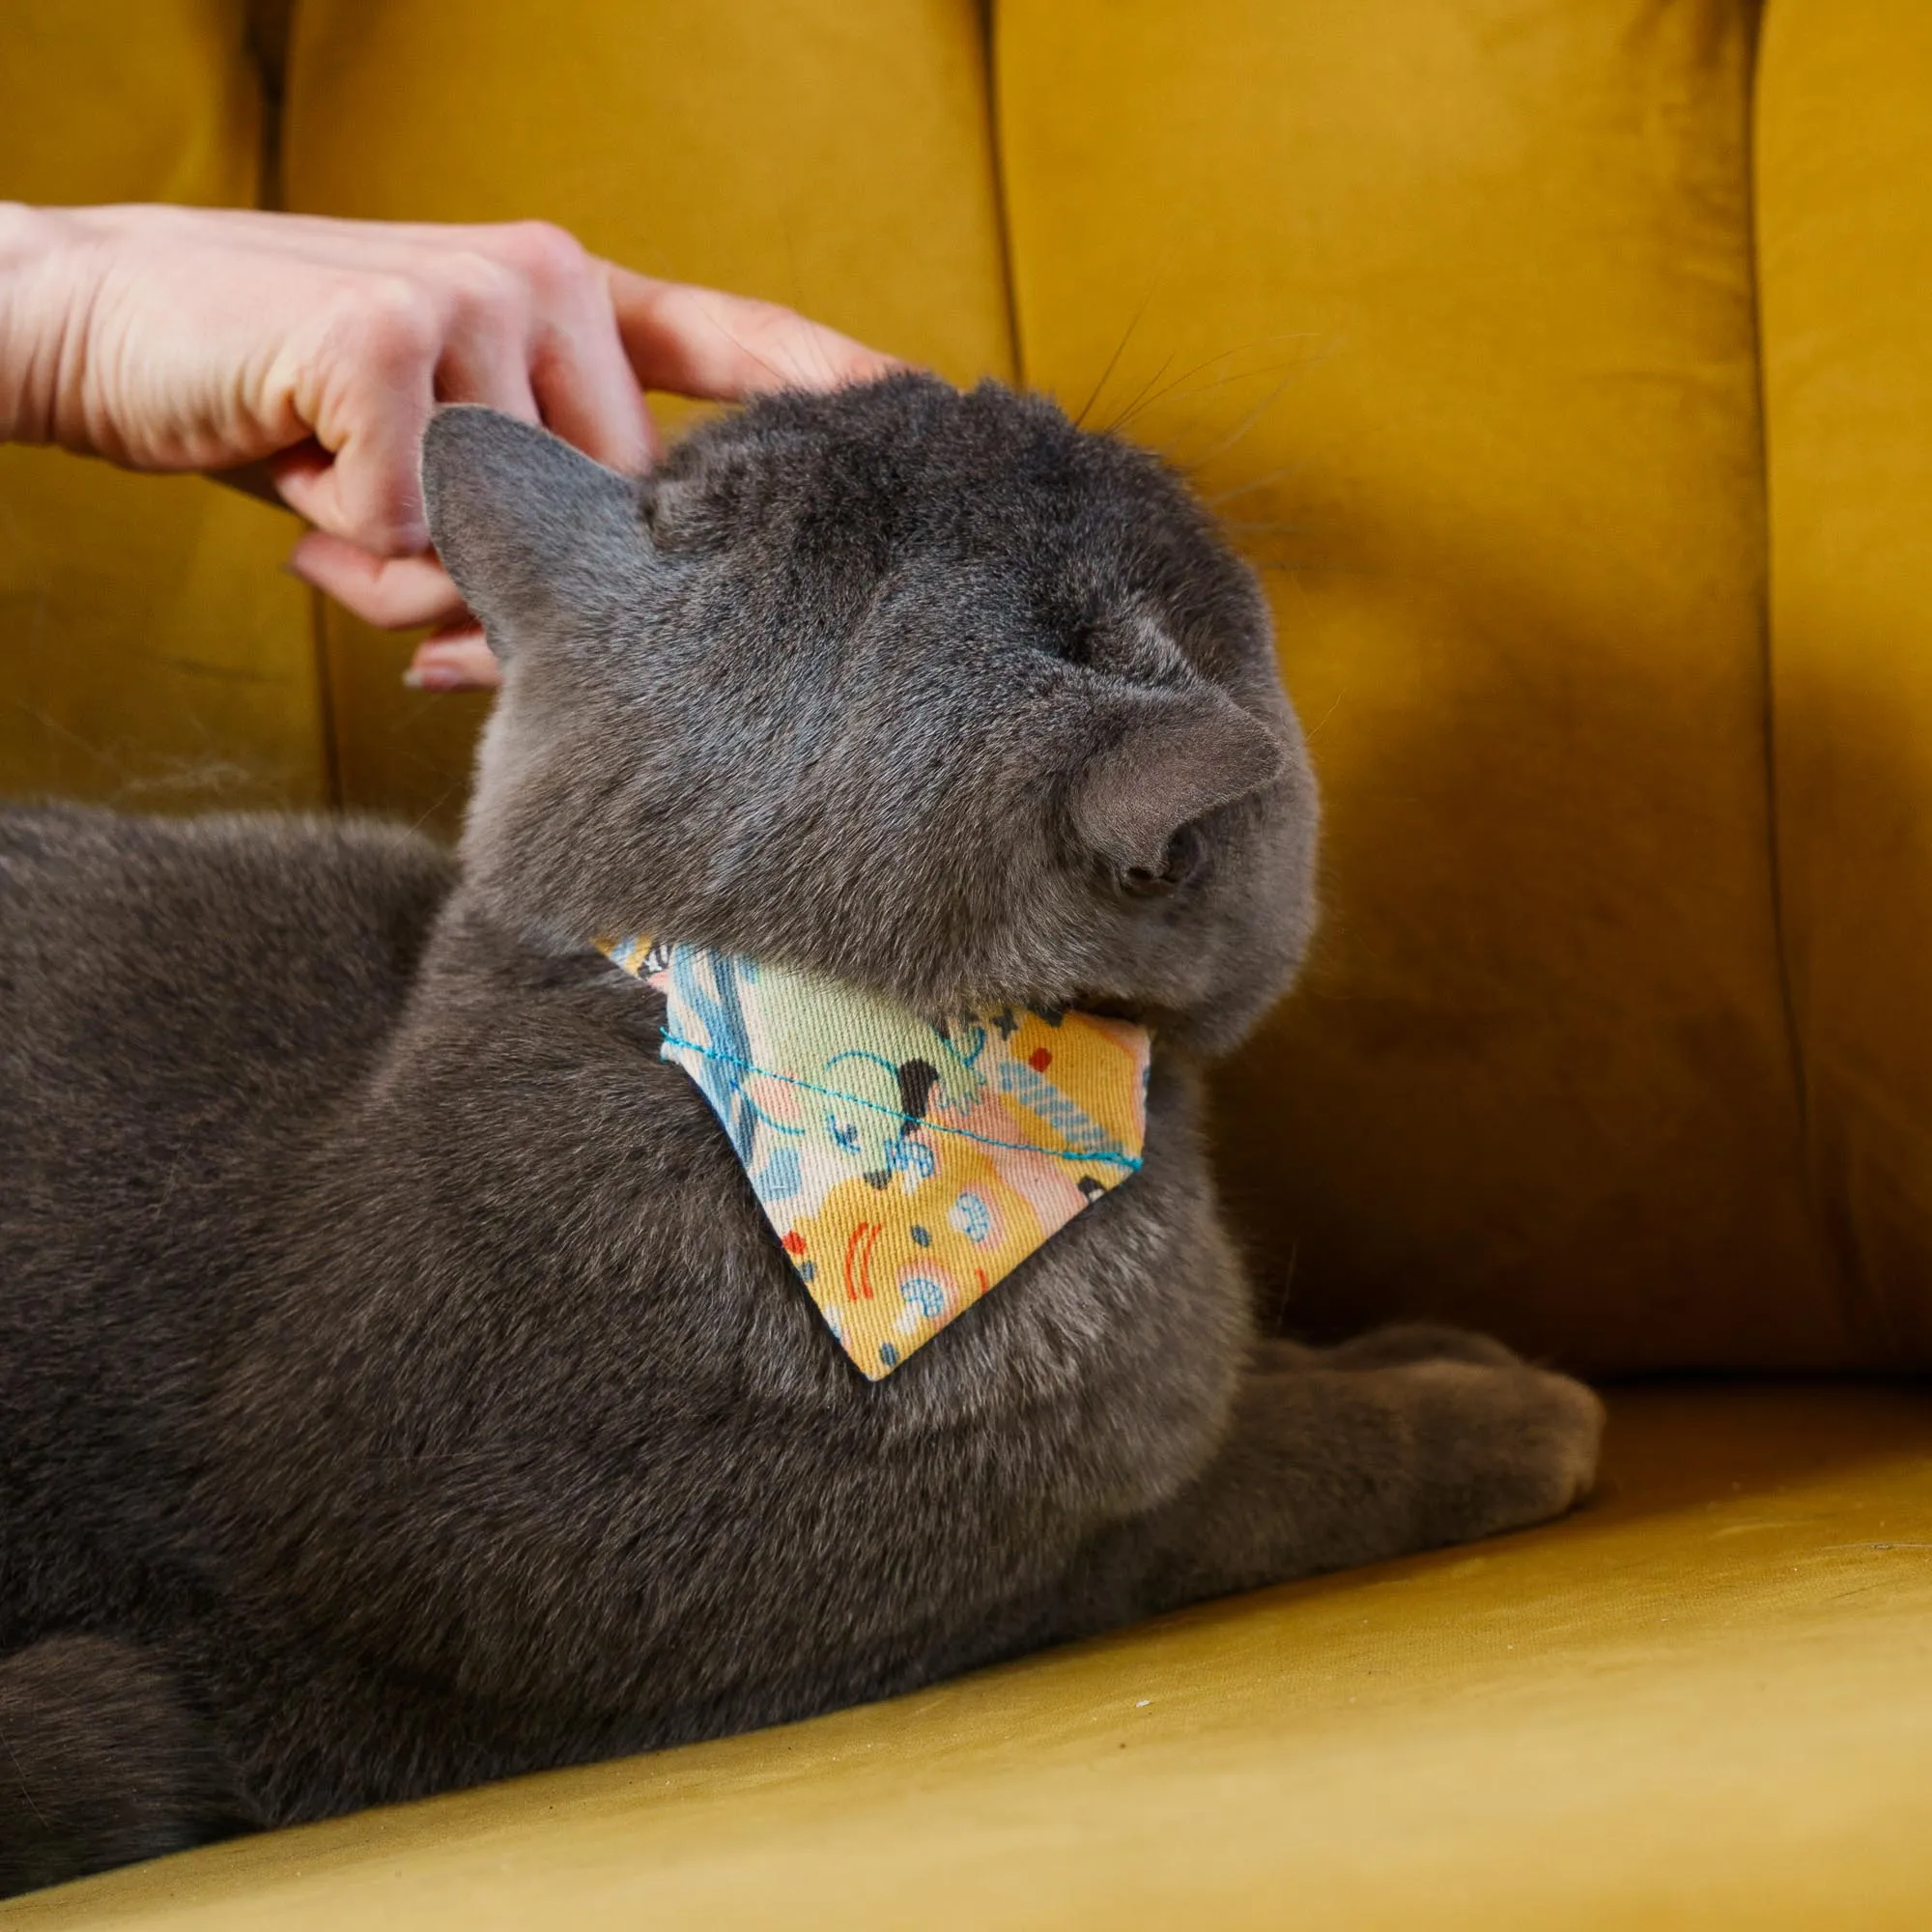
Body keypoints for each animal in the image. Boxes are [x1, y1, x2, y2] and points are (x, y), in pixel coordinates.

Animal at [0, 373, 1600, 1886]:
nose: (1035, 401)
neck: (817, 1064)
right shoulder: (1011, 1561)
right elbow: (1265, 1464)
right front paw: (1507, 1409)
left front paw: (1420, 1345)